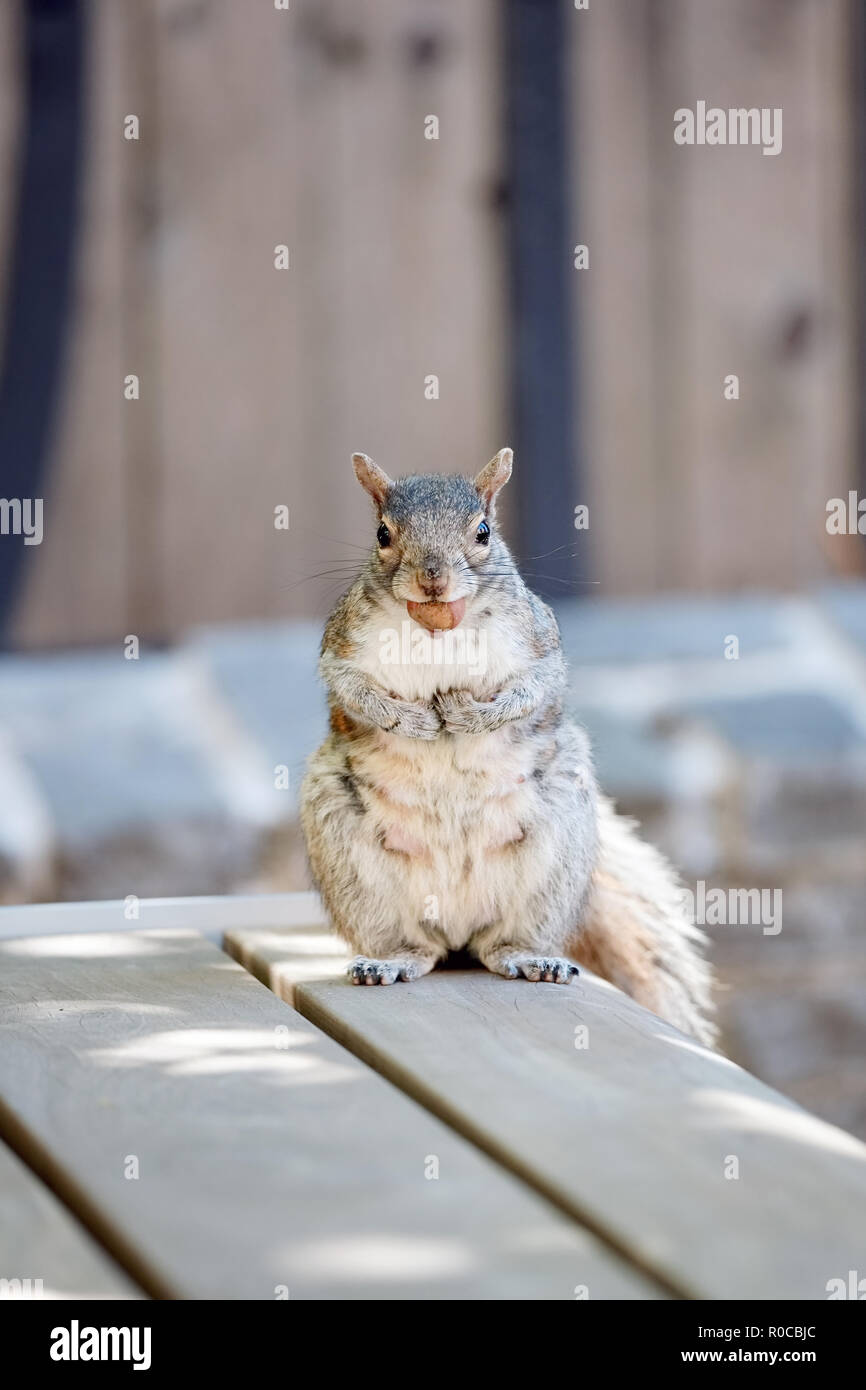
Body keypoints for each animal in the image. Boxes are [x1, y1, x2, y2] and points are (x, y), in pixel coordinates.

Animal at [300, 449, 717, 1047]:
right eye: (382, 533)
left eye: (483, 532)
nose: (432, 580)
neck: (437, 631)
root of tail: (457, 928)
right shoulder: (342, 644)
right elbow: (350, 687)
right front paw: (409, 718)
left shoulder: (539, 642)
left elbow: (534, 687)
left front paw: (470, 715)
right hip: (352, 865)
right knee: (415, 946)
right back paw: (391, 960)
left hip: (554, 860)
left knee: (501, 943)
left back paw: (528, 957)